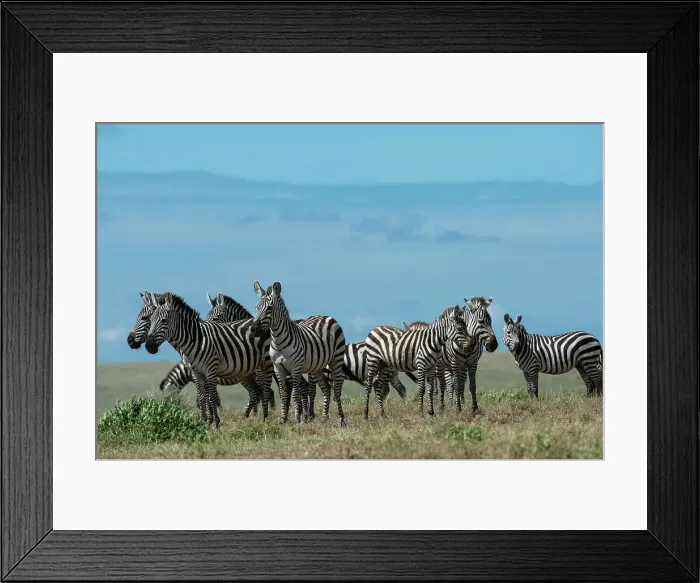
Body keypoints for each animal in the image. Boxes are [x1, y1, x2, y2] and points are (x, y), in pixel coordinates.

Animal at [144, 292, 274, 428]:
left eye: (164, 320)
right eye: (150, 320)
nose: (149, 346)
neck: (196, 340)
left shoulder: (211, 371)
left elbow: (212, 398)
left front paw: (216, 423)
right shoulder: (197, 373)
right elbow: (202, 398)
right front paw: (204, 422)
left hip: (264, 365)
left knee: (266, 391)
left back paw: (265, 419)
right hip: (246, 372)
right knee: (256, 392)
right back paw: (249, 417)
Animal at [251, 281, 347, 427]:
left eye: (269, 308)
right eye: (256, 307)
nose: (254, 329)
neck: (278, 342)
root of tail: (327, 316)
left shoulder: (295, 369)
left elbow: (295, 395)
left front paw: (297, 420)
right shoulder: (278, 369)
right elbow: (283, 394)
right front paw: (283, 420)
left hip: (336, 360)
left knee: (337, 388)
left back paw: (342, 419)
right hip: (317, 367)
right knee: (326, 388)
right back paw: (324, 419)